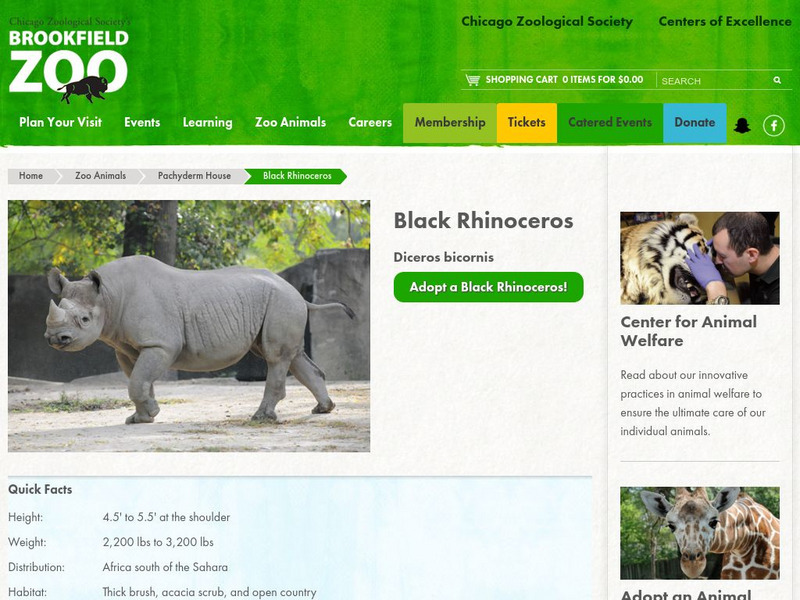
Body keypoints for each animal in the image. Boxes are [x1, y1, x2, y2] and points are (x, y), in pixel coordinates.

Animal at [44, 255, 354, 424]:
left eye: (85, 320)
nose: (55, 338)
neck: (109, 296)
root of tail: (298, 293)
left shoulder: (160, 344)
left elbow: (137, 382)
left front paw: (148, 414)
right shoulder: (129, 347)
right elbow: (139, 381)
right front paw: (142, 417)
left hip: (281, 302)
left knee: (275, 356)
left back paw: (260, 418)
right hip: (281, 303)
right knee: (294, 357)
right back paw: (323, 409)